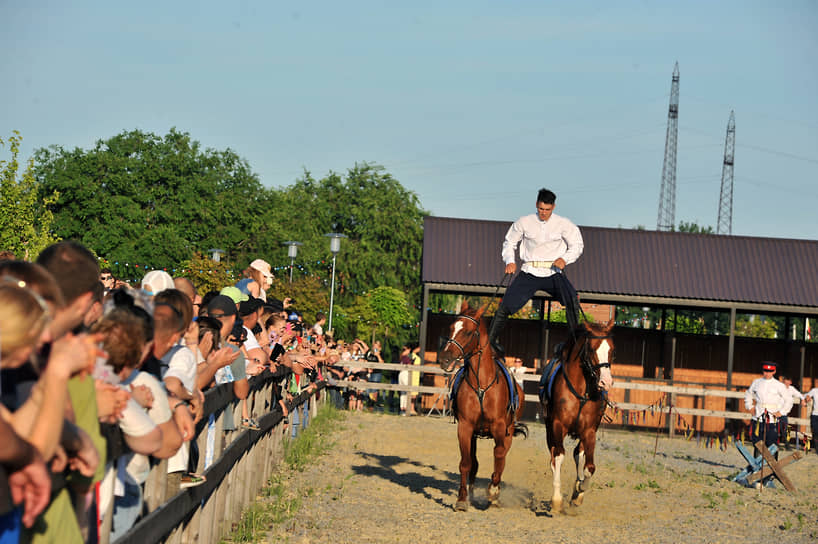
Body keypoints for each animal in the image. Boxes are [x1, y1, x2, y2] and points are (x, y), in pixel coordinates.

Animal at [436, 302, 524, 510]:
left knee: (502, 457)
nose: (444, 359)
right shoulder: (465, 427)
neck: (481, 385)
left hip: (508, 432)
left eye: (468, 332)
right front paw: (462, 499)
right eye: (451, 328)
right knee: (474, 463)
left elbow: (499, 456)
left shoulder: (500, 428)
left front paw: (493, 492)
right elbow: (466, 463)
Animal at [540, 316, 612, 512]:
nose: (606, 381)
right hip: (550, 429)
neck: (581, 391)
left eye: (611, 349)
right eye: (593, 349)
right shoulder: (558, 425)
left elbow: (589, 467)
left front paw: (579, 491)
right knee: (554, 457)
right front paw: (557, 500)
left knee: (578, 454)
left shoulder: (589, 431)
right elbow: (558, 457)